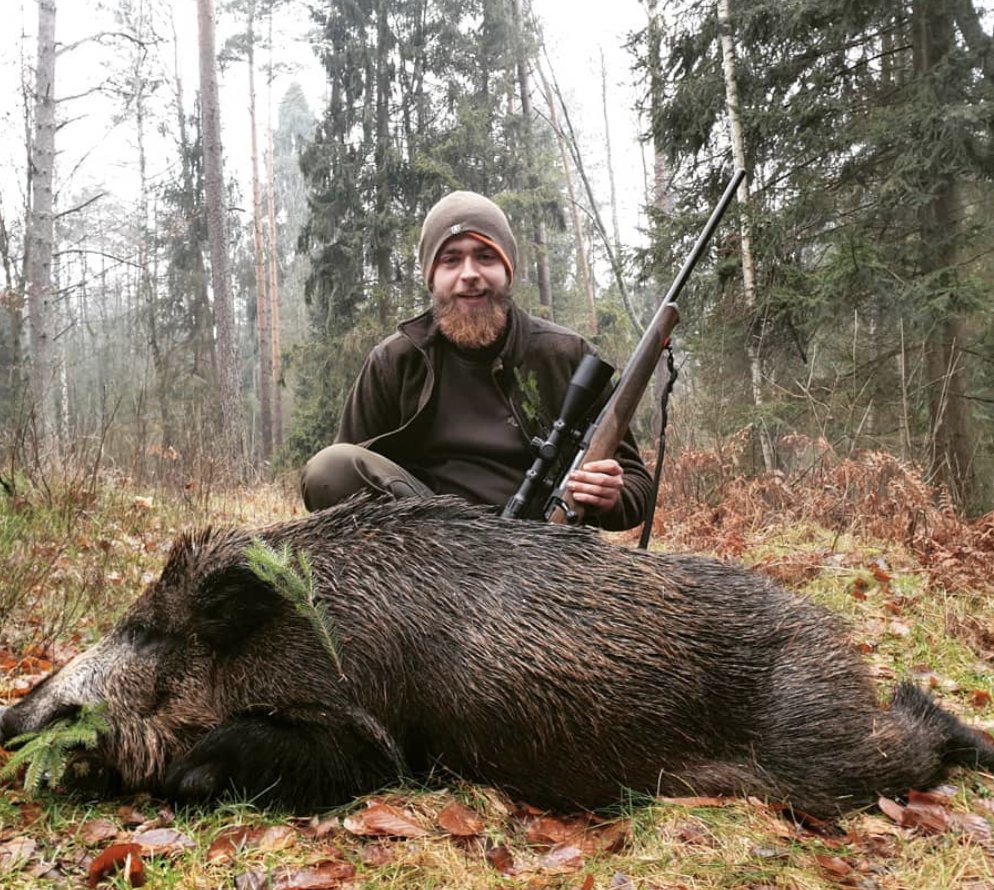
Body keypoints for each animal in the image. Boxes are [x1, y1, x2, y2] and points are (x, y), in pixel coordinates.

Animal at [1, 493, 992, 818]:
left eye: (146, 632)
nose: (14, 716)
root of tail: (838, 640)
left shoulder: (377, 740)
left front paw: (184, 775)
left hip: (817, 748)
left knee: (907, 738)